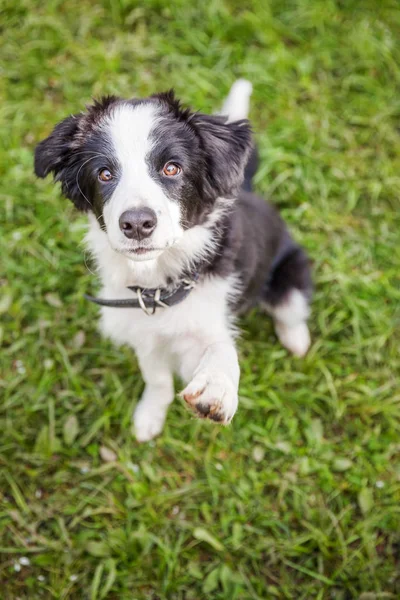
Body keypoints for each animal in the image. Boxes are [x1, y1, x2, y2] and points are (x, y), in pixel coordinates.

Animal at [35, 79, 312, 440]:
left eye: (171, 168)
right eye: (104, 174)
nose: (137, 223)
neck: (158, 287)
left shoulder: (207, 316)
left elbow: (220, 346)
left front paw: (217, 387)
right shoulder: (142, 334)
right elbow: (157, 379)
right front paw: (150, 416)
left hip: (290, 272)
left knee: (291, 308)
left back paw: (296, 339)